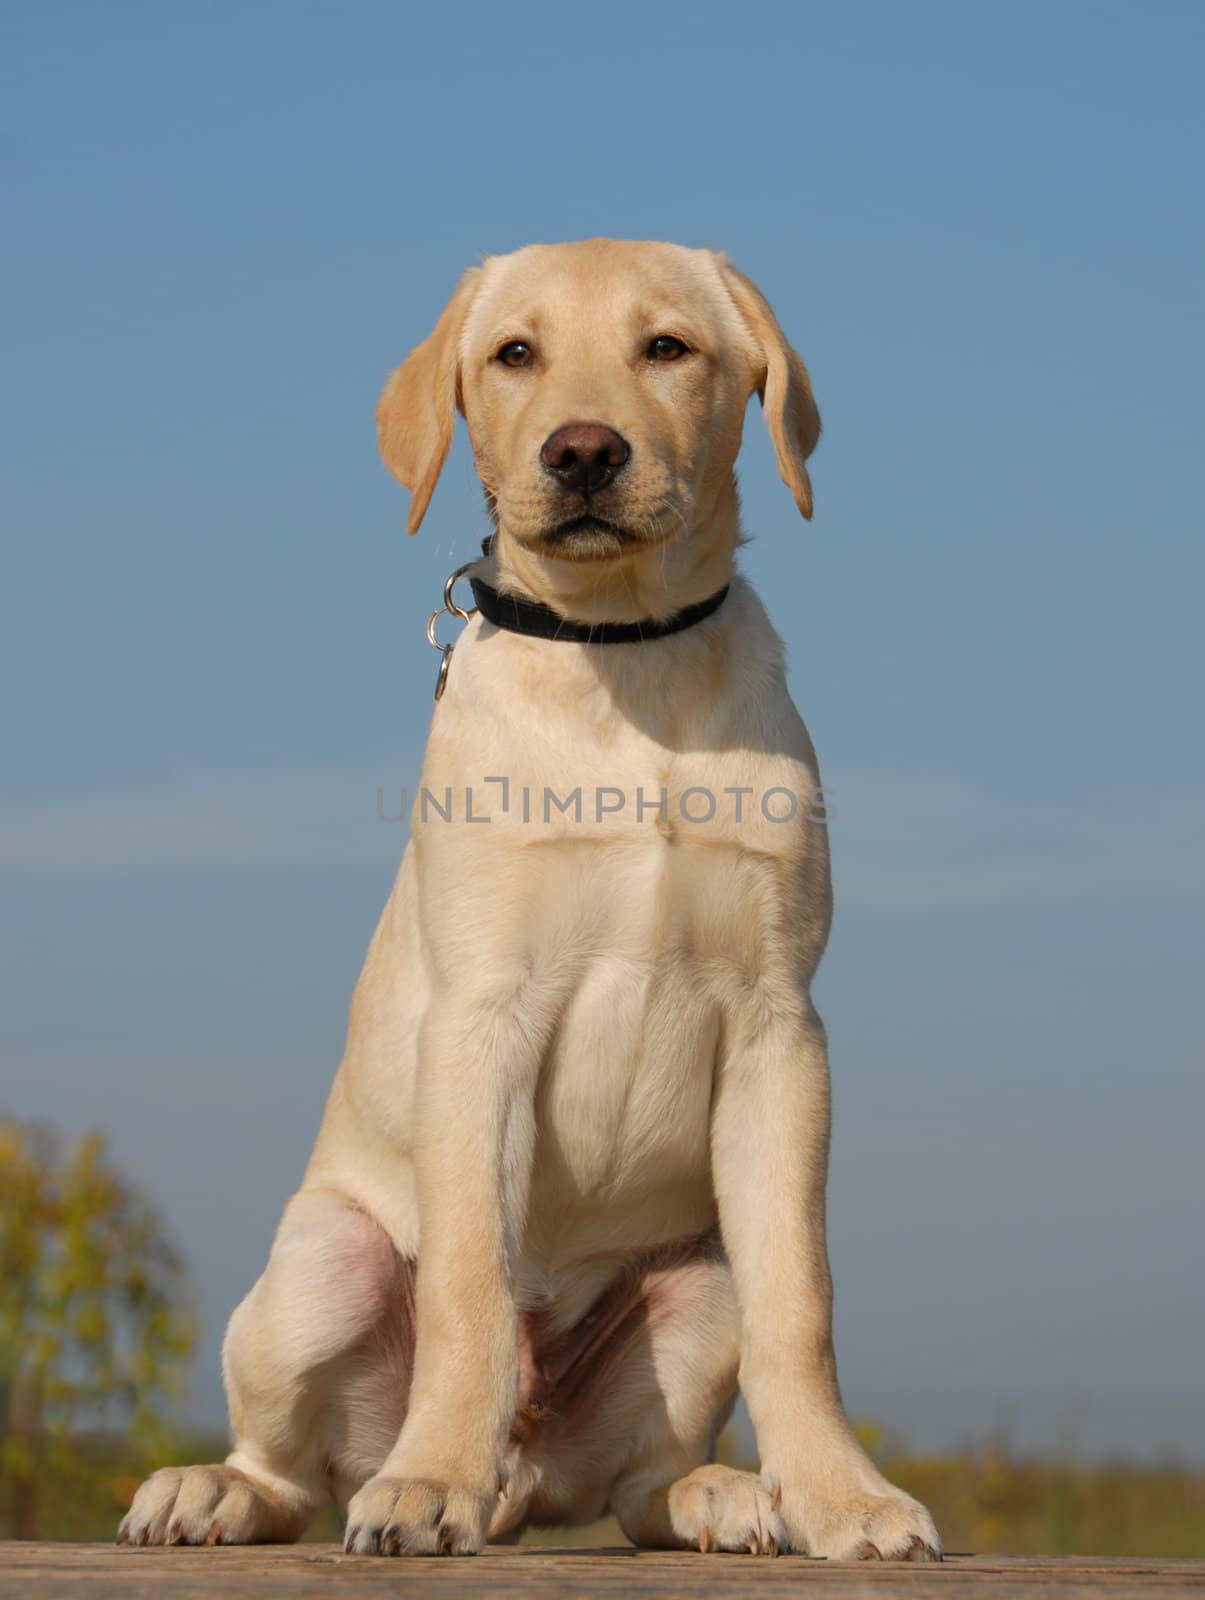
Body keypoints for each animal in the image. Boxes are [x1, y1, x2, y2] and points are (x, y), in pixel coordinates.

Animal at [120, 240, 940, 1561]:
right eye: (515, 354)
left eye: (667, 348)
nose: (584, 452)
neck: (621, 654)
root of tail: (525, 1474)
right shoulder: (478, 1016)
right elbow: (468, 1282)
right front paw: (424, 1482)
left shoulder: (779, 1027)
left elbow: (800, 1299)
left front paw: (838, 1495)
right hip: (322, 1261)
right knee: (291, 1465)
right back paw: (229, 1489)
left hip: (693, 1279)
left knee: (640, 1476)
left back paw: (717, 1495)